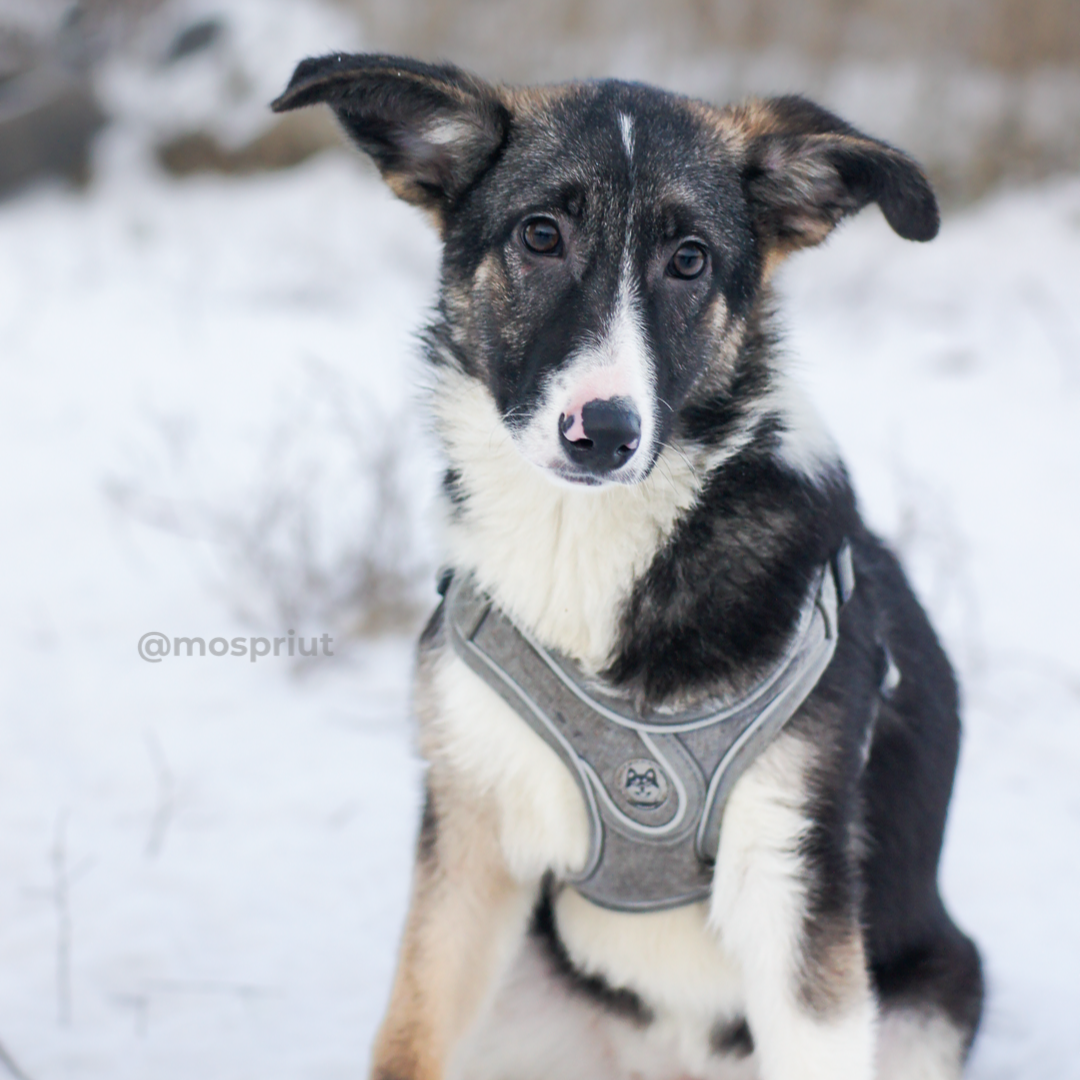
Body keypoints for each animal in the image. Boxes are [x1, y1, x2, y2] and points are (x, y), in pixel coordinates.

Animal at [272, 54, 989, 1080]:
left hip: (931, 994)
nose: (604, 433)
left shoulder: (793, 880)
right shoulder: (469, 840)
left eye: (689, 259)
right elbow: (408, 1035)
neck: (583, 540)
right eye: (540, 235)